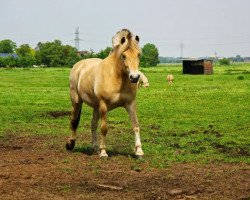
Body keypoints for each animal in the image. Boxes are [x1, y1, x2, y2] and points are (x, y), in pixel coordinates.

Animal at [66, 28, 145, 159]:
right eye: (124, 56)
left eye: (138, 54)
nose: (134, 77)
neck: (116, 77)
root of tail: (79, 65)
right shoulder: (103, 105)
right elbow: (104, 128)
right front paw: (103, 152)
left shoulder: (130, 104)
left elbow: (136, 125)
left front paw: (139, 151)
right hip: (77, 101)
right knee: (74, 120)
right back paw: (70, 144)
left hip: (95, 106)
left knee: (93, 125)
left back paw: (95, 148)